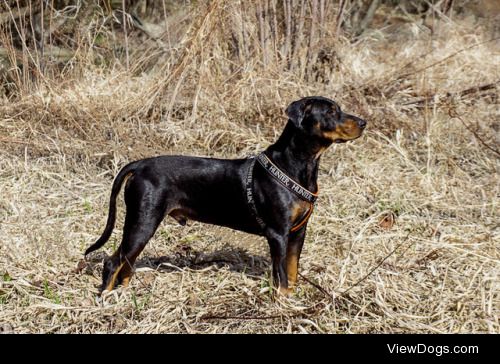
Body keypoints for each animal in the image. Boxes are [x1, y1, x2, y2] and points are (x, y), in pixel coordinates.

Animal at [85, 96, 368, 296]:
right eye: (330, 112)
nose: (364, 122)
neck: (296, 165)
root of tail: (139, 165)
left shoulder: (298, 232)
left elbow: (292, 270)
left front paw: (294, 299)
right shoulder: (278, 234)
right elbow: (281, 275)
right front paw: (284, 302)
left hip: (142, 226)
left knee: (126, 263)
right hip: (142, 222)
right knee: (113, 262)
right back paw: (106, 300)